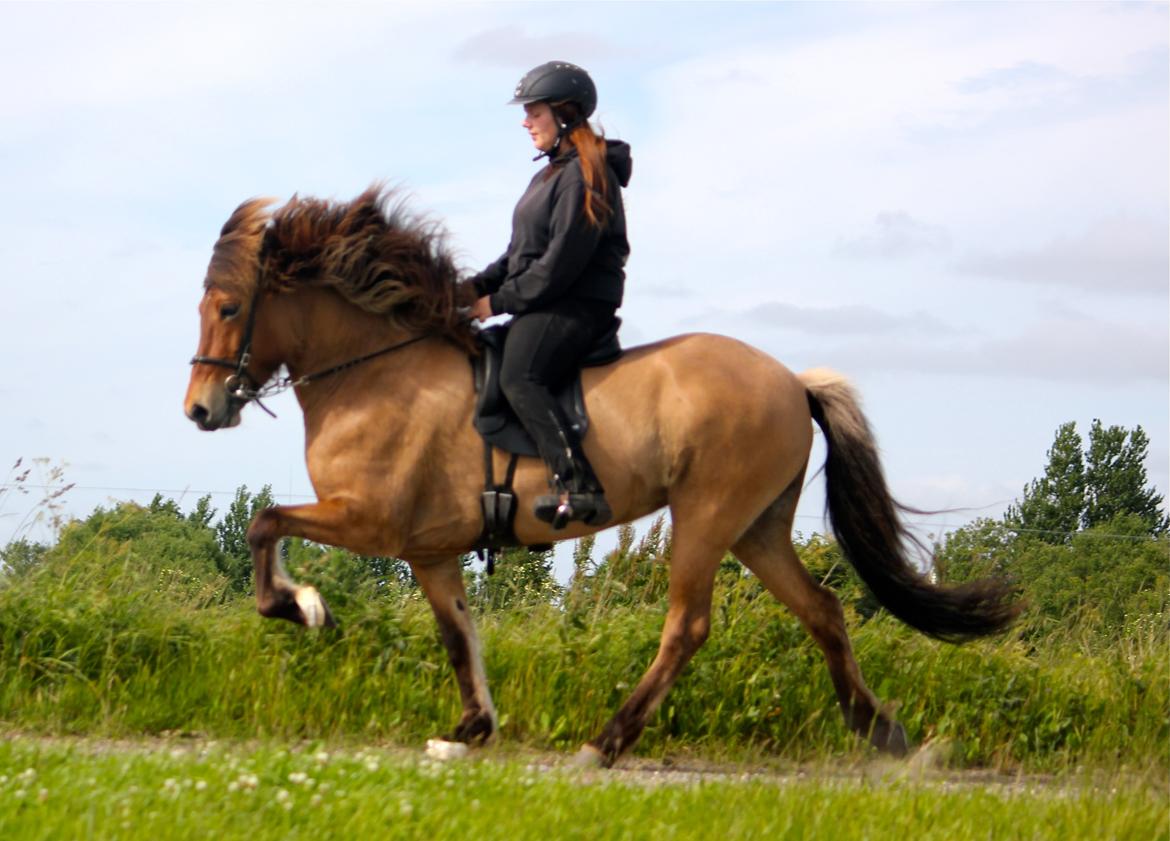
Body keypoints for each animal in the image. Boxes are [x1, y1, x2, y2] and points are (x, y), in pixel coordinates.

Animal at [184, 187, 1024, 767]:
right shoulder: (429, 549)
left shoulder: (369, 518)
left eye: (227, 307)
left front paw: (303, 607)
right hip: (756, 526)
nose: (199, 409)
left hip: (706, 515)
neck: (375, 370)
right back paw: (882, 730)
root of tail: (792, 380)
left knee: (688, 625)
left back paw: (607, 740)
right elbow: (458, 635)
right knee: (822, 609)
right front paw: (471, 729)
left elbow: (264, 521)